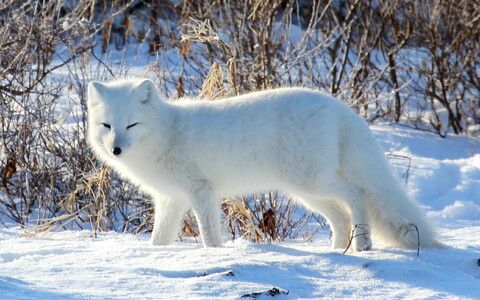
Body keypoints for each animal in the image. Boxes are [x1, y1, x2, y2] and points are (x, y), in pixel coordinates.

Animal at [87, 78, 442, 252]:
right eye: (107, 126)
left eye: (132, 125)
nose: (116, 149)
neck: (167, 133)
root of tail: (339, 108)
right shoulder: (170, 199)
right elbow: (159, 238)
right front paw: (155, 256)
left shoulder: (201, 191)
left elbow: (208, 233)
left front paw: (213, 256)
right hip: (306, 192)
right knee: (341, 216)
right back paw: (333, 253)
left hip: (312, 183)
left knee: (358, 195)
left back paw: (363, 244)